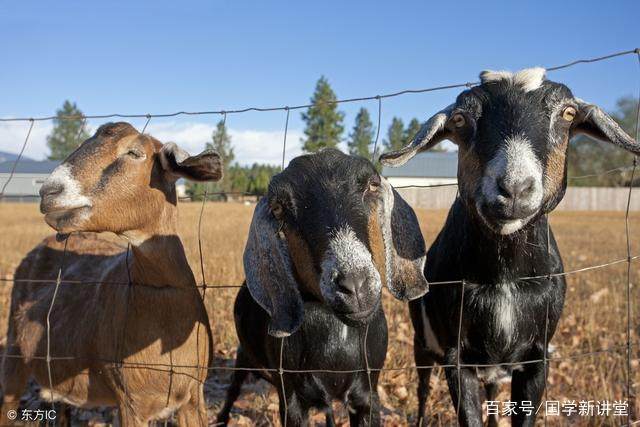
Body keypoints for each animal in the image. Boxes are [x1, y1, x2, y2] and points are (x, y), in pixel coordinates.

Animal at [216, 149, 430, 426]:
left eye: (372, 185)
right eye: (278, 207)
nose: (354, 284)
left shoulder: (368, 394)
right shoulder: (291, 399)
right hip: (243, 356)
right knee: (233, 388)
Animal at [380, 69, 640, 427]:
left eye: (568, 114)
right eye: (460, 119)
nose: (514, 188)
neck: (505, 277)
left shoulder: (537, 356)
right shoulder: (456, 357)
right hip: (423, 341)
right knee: (422, 388)